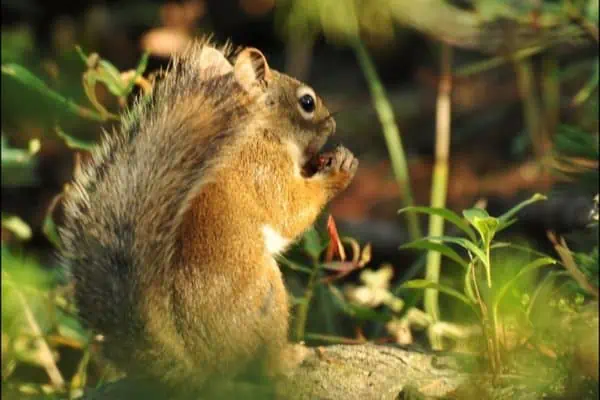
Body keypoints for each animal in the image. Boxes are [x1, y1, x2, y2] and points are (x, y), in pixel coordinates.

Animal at [57, 39, 356, 396]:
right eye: (307, 102)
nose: (332, 125)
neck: (258, 129)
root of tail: (196, 370)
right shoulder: (261, 169)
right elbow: (288, 210)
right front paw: (338, 172)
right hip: (264, 295)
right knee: (261, 367)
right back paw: (287, 358)